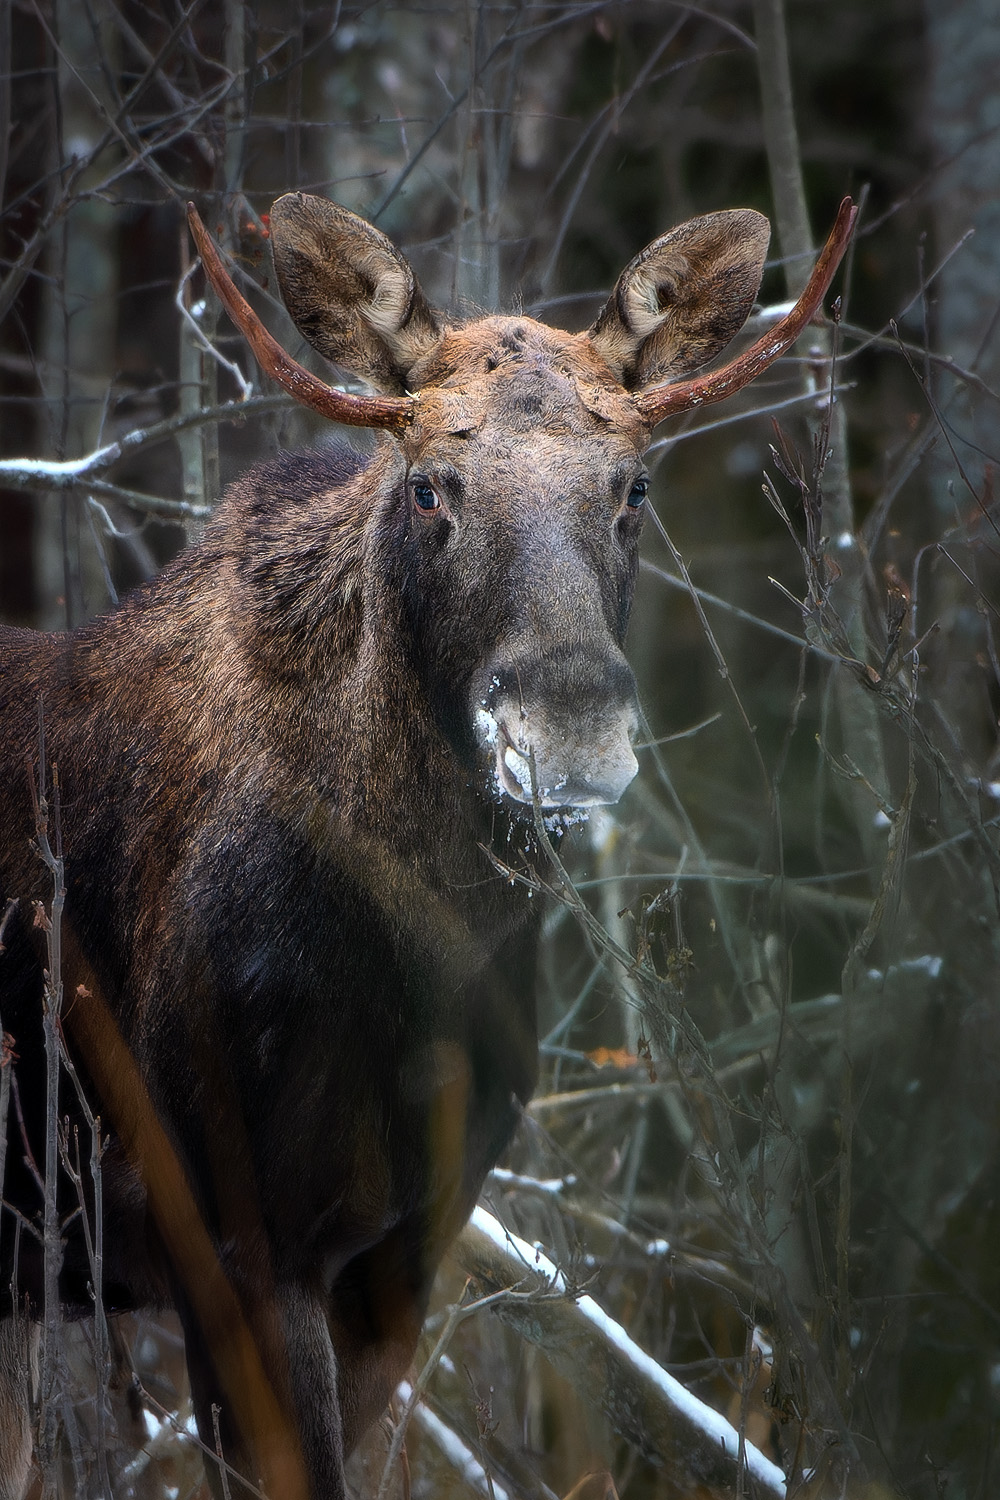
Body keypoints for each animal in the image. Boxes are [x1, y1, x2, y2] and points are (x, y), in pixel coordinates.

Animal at [0, 193, 857, 1494]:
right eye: (428, 489)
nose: (566, 722)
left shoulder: (406, 1254)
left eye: (633, 489)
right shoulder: (234, 1240)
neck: (430, 952)